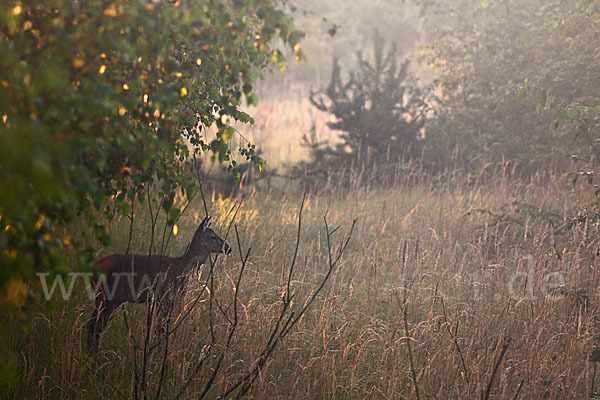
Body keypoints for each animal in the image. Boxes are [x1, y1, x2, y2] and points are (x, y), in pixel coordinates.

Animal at [86, 216, 230, 354]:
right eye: (213, 236)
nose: (228, 248)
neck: (183, 267)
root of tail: (93, 269)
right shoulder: (167, 297)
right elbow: (161, 329)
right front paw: (160, 353)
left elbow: (159, 327)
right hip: (110, 297)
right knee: (95, 325)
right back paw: (94, 354)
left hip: (102, 298)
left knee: (92, 323)